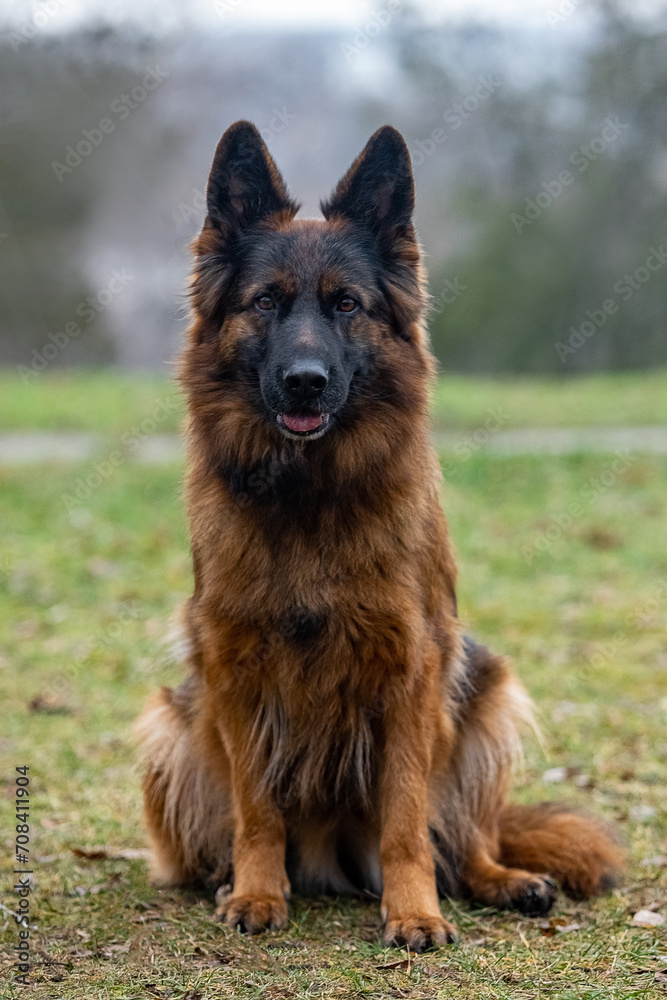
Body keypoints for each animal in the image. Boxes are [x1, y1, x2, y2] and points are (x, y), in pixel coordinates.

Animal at [138, 121, 624, 948]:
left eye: (346, 304)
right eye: (265, 302)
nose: (305, 380)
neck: (309, 498)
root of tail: (330, 857)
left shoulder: (412, 669)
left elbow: (405, 816)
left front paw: (415, 912)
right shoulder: (234, 668)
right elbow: (256, 806)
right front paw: (257, 893)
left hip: (483, 688)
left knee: (461, 836)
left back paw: (500, 878)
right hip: (171, 724)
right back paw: (228, 879)